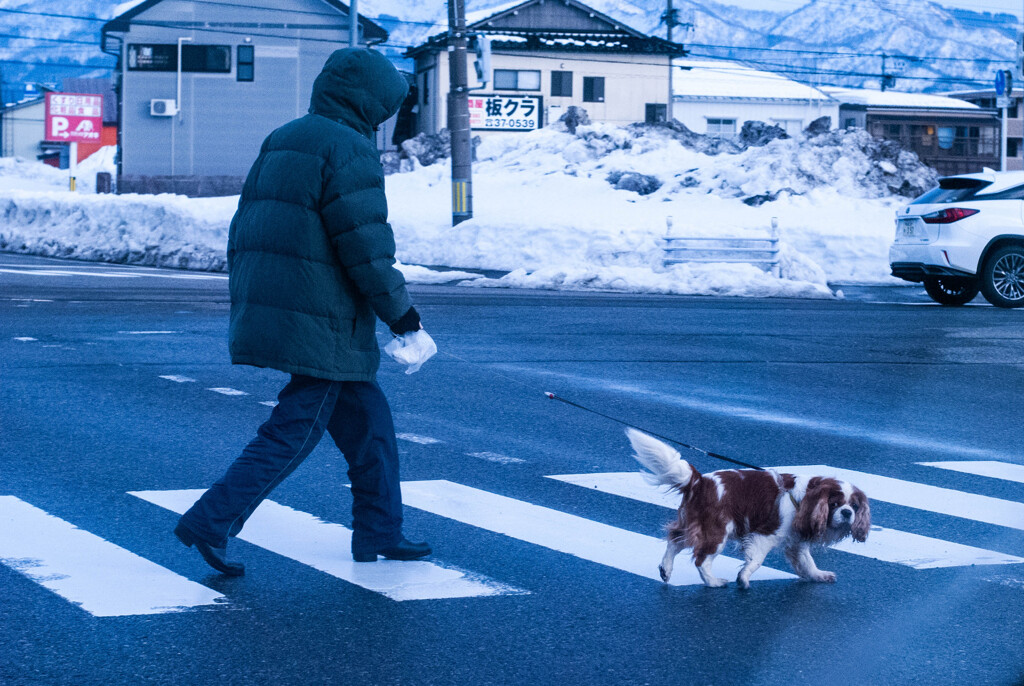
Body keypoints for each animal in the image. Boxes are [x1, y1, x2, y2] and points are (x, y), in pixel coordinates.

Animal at [626, 432, 868, 589]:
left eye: (854, 506)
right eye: (835, 504)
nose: (847, 513)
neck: (804, 498)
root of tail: (700, 481)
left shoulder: (796, 541)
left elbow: (808, 562)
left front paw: (818, 575)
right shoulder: (765, 534)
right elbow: (756, 560)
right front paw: (743, 578)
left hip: (694, 524)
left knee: (675, 541)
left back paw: (666, 570)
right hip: (716, 531)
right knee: (701, 560)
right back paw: (713, 582)